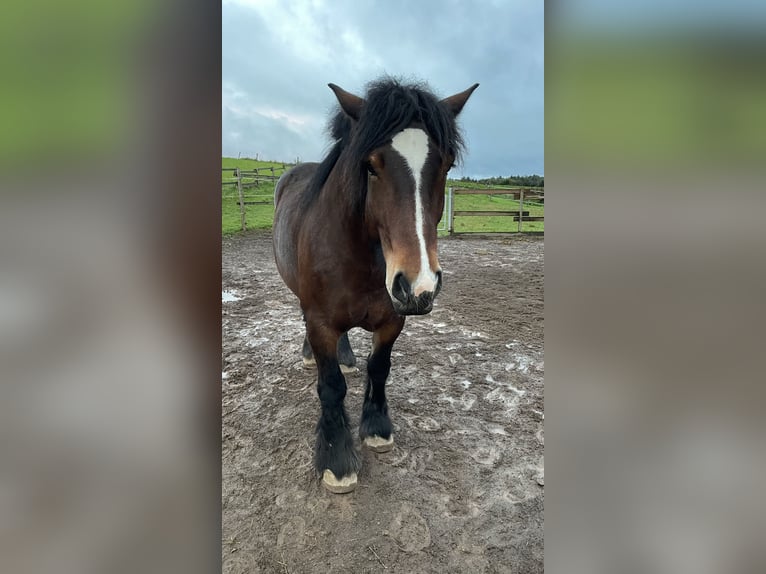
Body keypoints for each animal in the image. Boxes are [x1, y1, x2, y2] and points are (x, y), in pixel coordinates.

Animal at [272, 77, 476, 496]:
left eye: (445, 164)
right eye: (371, 166)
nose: (419, 283)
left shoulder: (393, 319)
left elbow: (379, 367)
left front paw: (377, 429)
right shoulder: (320, 321)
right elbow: (331, 385)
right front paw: (336, 459)